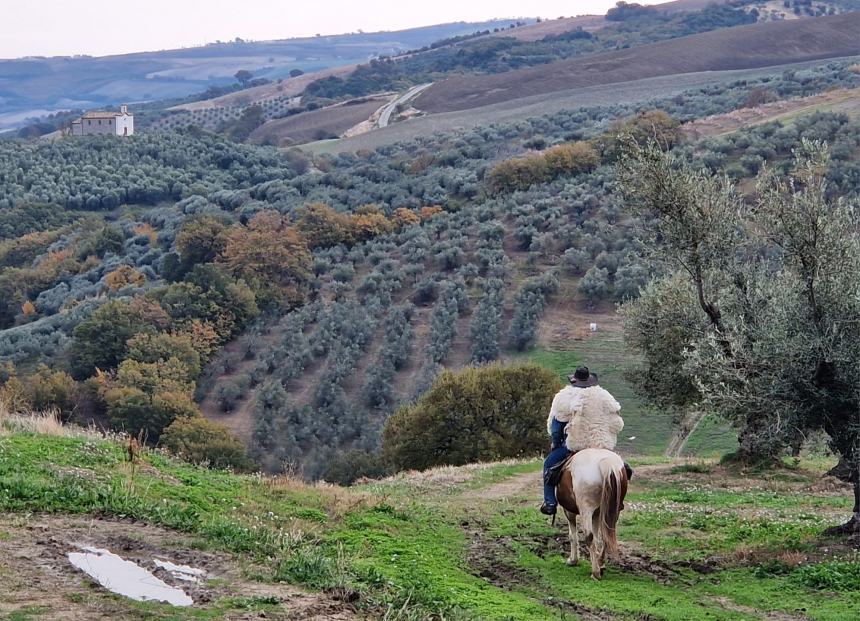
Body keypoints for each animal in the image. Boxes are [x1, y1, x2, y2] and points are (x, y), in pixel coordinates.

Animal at [556, 448, 628, 580]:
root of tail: (606, 462)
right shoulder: (597, 513)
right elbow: (597, 536)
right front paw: (601, 563)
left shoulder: (569, 511)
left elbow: (572, 536)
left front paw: (573, 560)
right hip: (611, 512)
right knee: (606, 535)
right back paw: (600, 563)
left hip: (586, 510)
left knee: (588, 537)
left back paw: (595, 572)